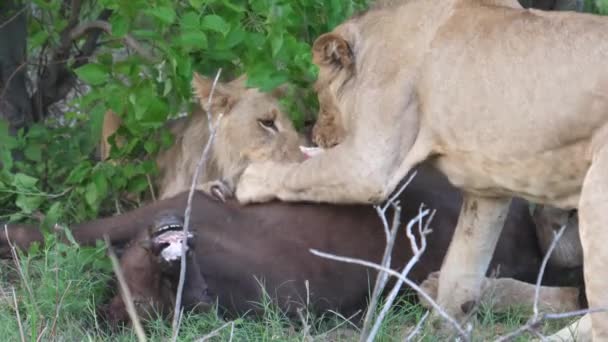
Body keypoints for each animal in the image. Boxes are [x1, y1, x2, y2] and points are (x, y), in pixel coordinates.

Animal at [233, 0, 608, 338]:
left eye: (320, 91)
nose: (316, 134)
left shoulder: (369, 163)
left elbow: (297, 174)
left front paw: (248, 179)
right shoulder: (487, 192)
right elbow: (463, 263)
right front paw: (442, 325)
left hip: (595, 204)